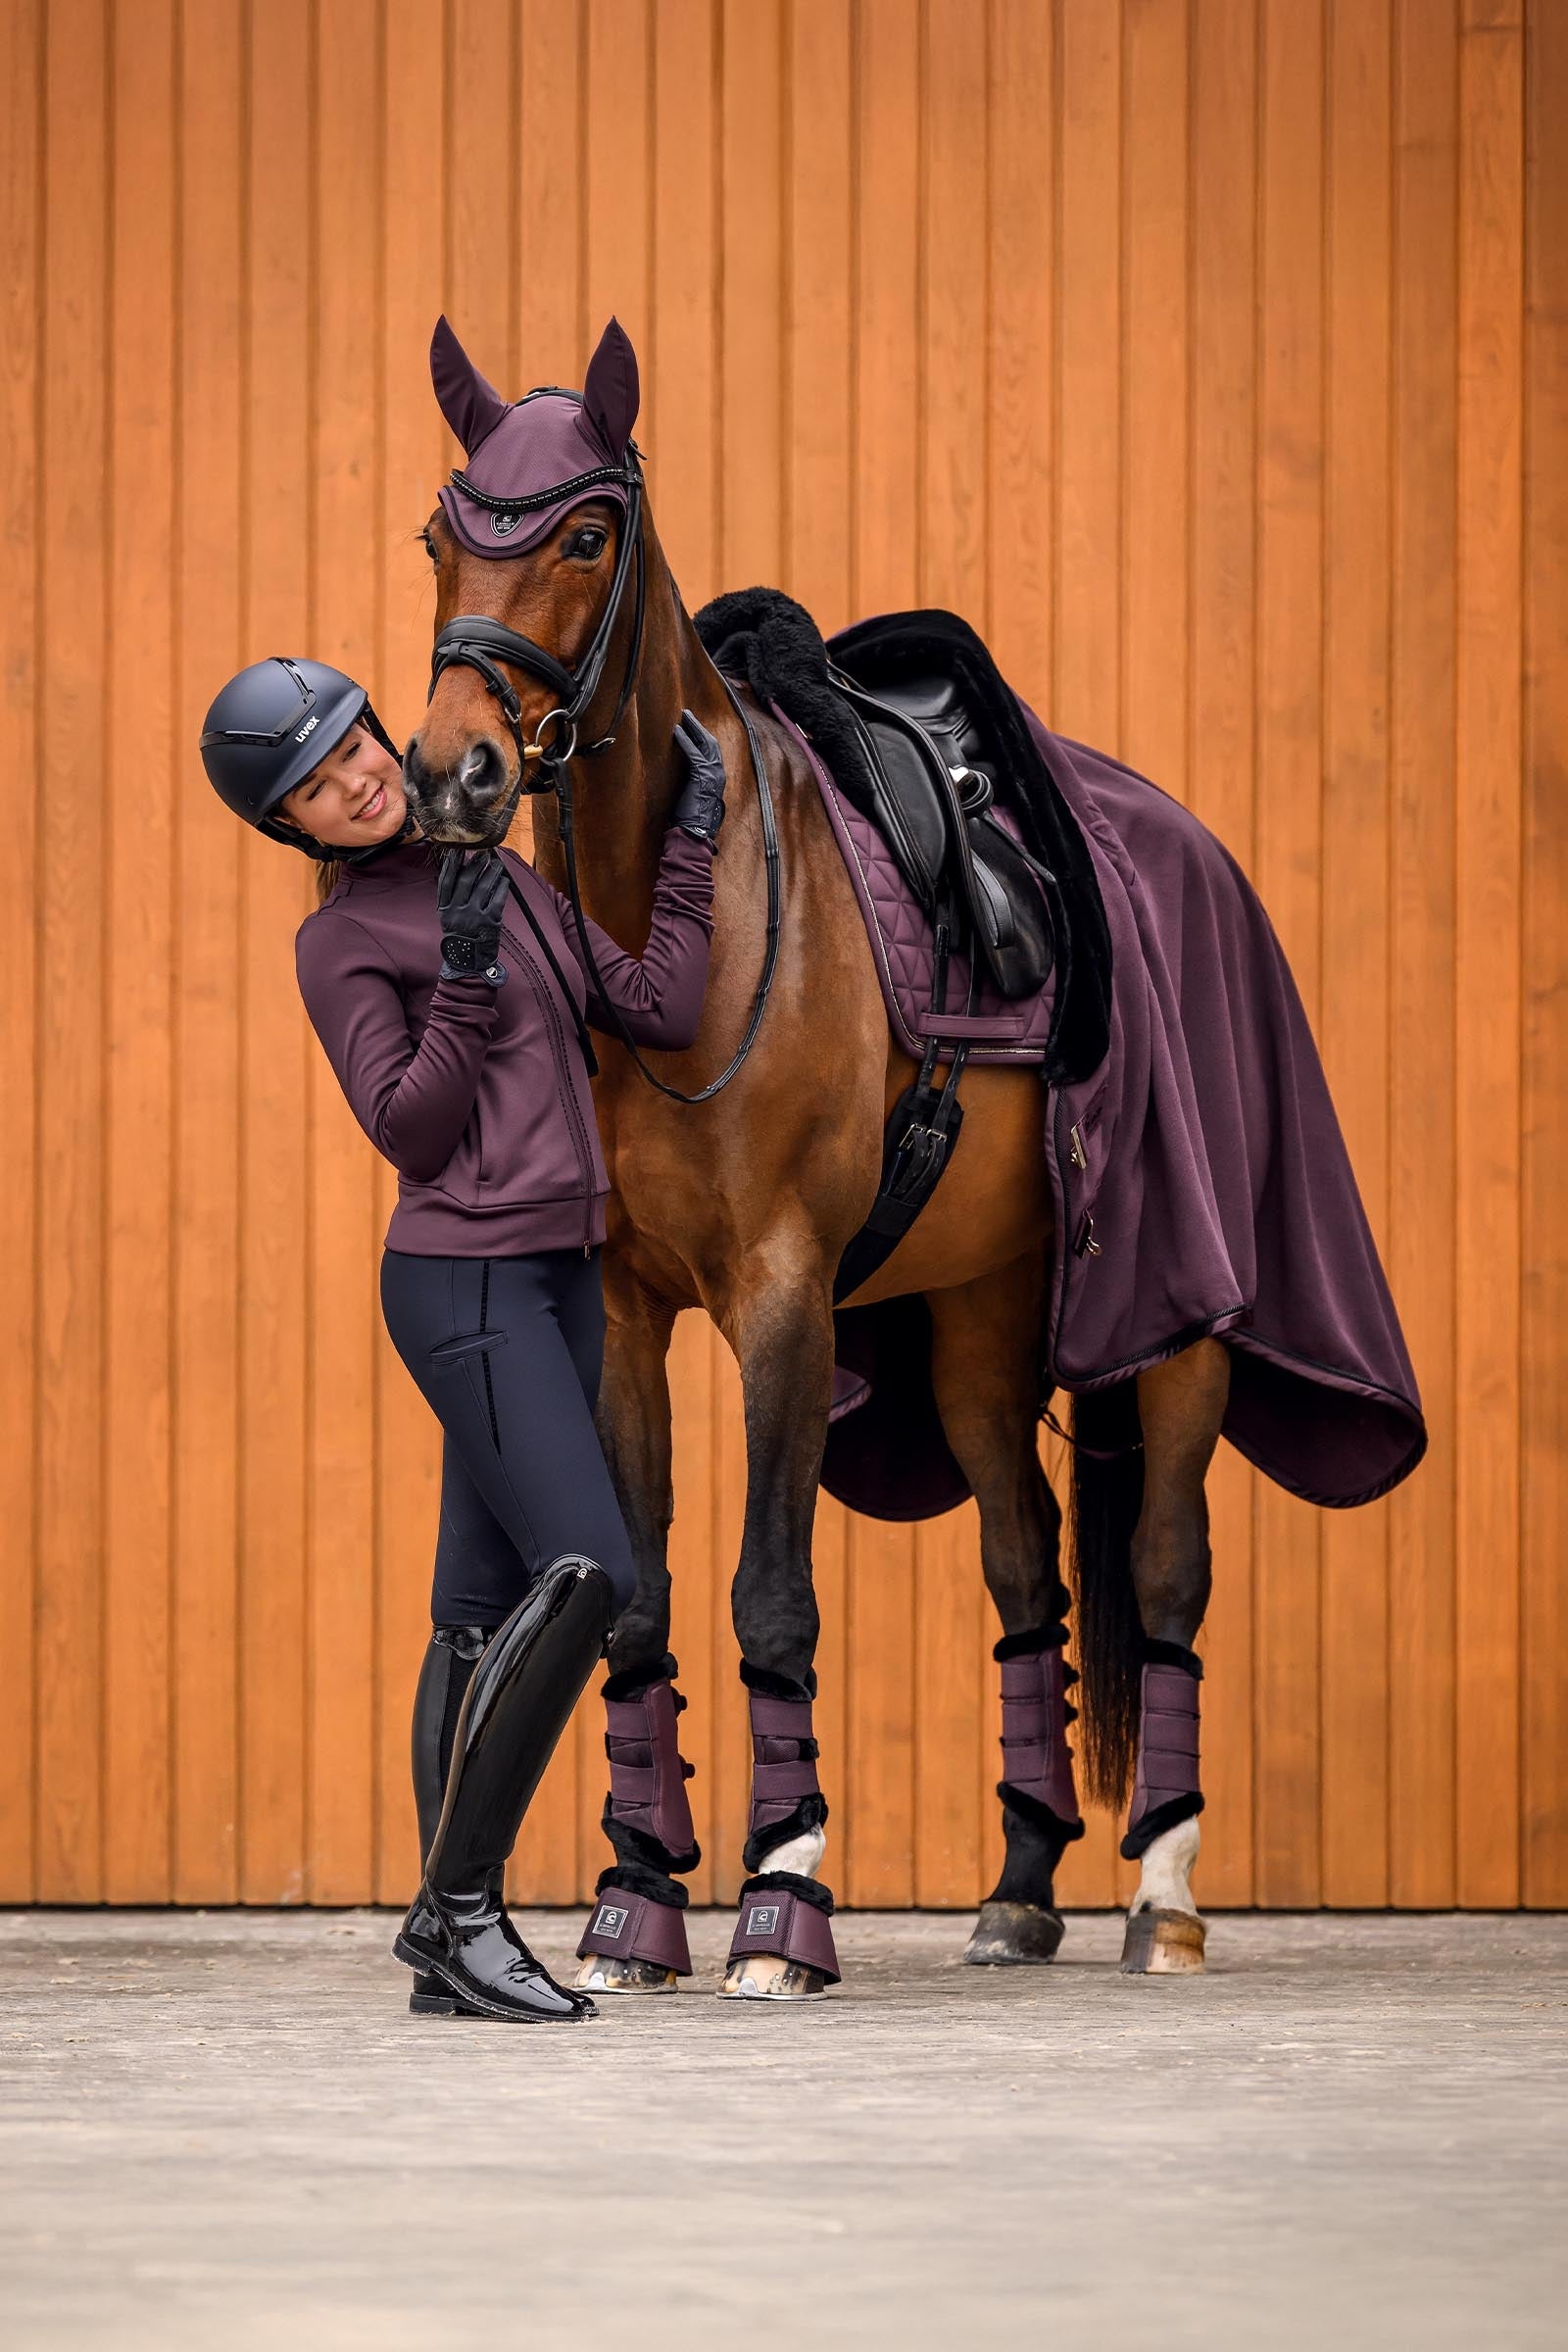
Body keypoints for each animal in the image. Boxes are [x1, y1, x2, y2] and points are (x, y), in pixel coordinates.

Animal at [403, 315, 1421, 1998]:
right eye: (441, 538)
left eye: (584, 534)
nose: (455, 774)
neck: (688, 927)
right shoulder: (624, 1311)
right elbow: (635, 1599)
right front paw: (635, 1903)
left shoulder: (783, 1299)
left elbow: (769, 1593)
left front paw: (781, 1903)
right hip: (980, 1324)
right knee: (1027, 1578)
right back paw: (1016, 1892)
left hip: (1184, 1329)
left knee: (1164, 1572)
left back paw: (1162, 1898)